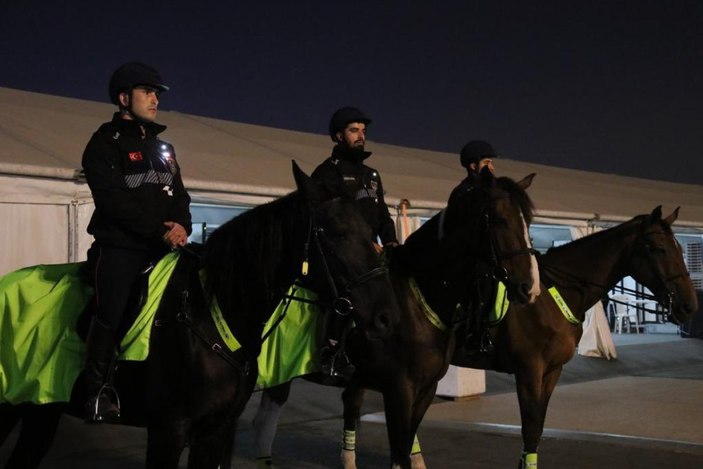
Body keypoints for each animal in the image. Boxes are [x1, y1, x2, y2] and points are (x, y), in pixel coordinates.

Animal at [0, 162, 402, 468]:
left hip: (39, 413)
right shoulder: (168, 432)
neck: (209, 314)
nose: (387, 317)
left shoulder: (217, 431)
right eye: (336, 233)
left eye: (372, 232)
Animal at [256, 170, 540, 466]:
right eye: (500, 220)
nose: (530, 288)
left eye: (529, 222)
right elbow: (400, 452)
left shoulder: (425, 390)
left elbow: (403, 447)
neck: (418, 300)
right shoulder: (399, 391)